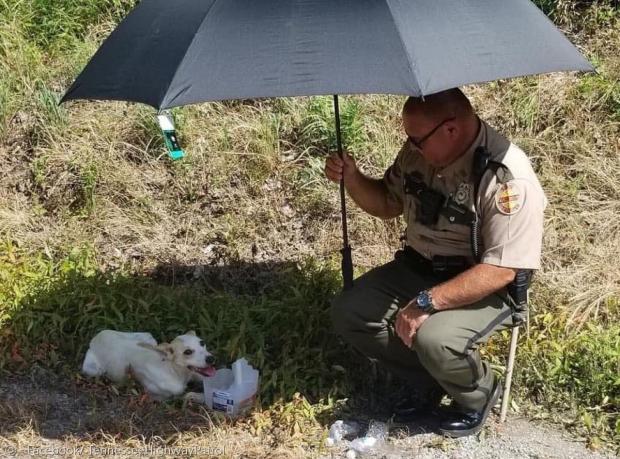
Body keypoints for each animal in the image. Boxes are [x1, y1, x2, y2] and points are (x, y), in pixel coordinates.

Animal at [81, 330, 216, 398]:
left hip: (148, 337)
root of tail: (96, 337)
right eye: (187, 352)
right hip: (92, 370)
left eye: (202, 343)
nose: (211, 359)